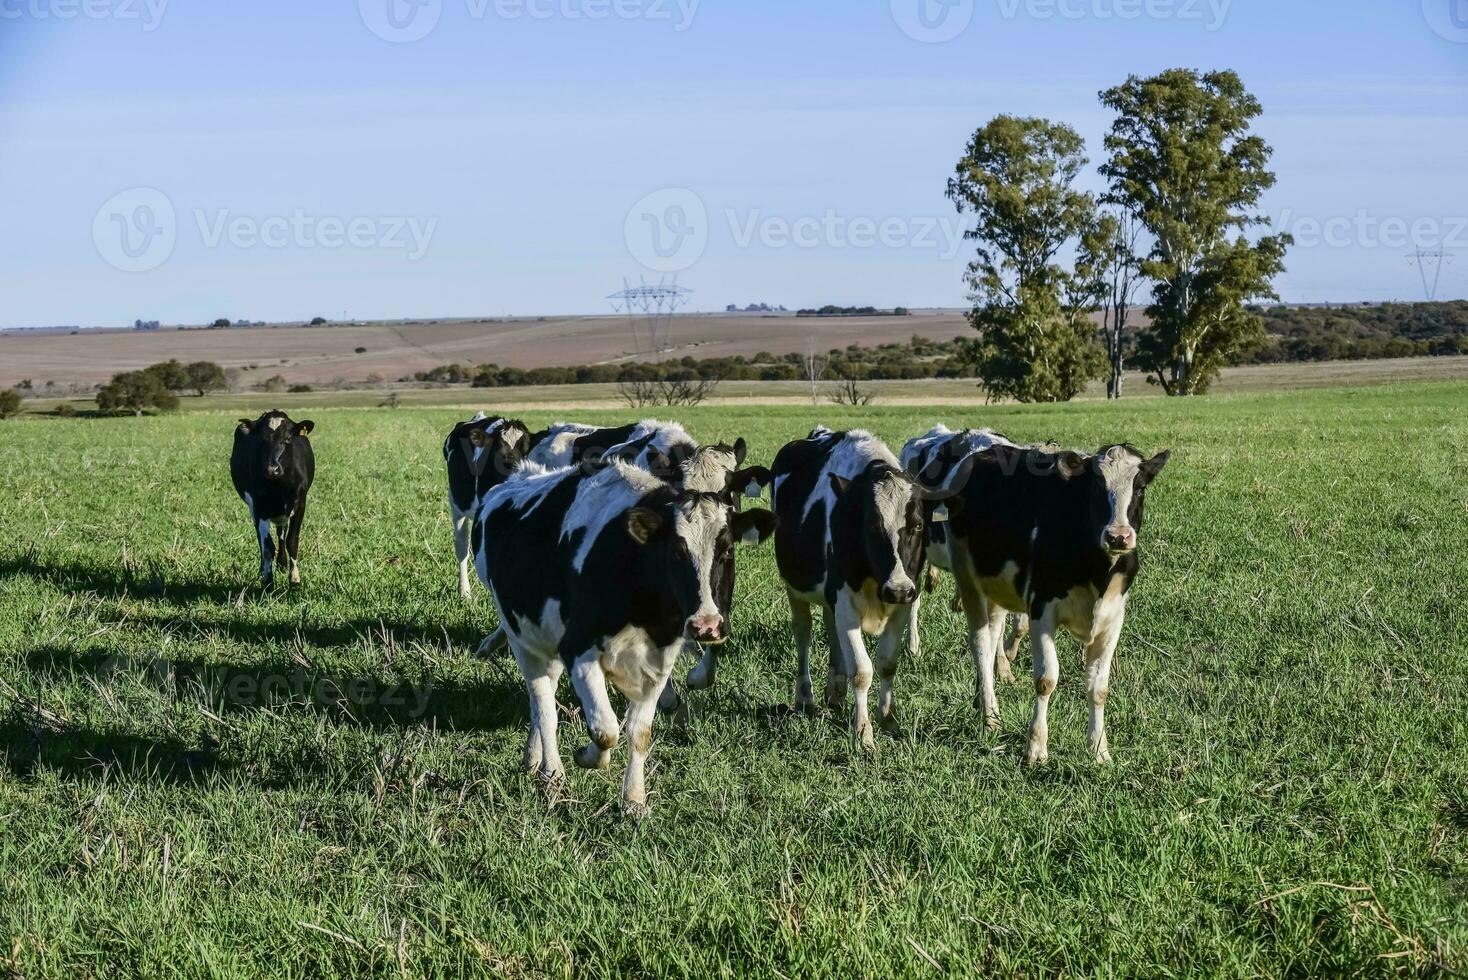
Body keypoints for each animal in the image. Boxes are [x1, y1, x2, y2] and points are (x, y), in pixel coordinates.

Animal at [229, 410, 315, 586]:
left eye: (288, 438)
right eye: (261, 440)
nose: (271, 469)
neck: (279, 485)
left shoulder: (300, 503)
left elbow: (292, 541)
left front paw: (294, 578)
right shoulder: (259, 505)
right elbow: (267, 546)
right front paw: (267, 580)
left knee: (282, 532)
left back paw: (282, 564)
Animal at [449, 410, 537, 598]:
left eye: (525, 449)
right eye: (497, 448)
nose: (514, 467)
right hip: (456, 505)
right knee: (462, 547)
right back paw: (464, 591)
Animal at [478, 463, 780, 815]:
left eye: (727, 550)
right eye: (676, 552)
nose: (707, 625)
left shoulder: (660, 660)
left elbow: (640, 732)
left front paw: (634, 799)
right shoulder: (577, 650)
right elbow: (605, 729)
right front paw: (587, 756)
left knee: (545, 697)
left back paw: (533, 757)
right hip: (522, 639)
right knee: (543, 707)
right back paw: (551, 773)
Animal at [769, 425, 927, 757]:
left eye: (918, 526)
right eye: (872, 526)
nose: (898, 589)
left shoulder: (903, 604)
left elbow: (887, 663)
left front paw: (887, 718)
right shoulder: (844, 603)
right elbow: (862, 670)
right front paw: (863, 734)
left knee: (831, 632)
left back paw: (836, 691)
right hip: (795, 587)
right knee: (803, 634)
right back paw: (805, 697)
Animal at [945, 443, 1174, 762]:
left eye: (1140, 488)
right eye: (1095, 488)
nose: (1118, 536)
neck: (1097, 571)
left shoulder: (1113, 619)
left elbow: (1099, 687)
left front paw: (1098, 749)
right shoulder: (1042, 611)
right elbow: (1046, 679)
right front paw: (1036, 747)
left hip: (996, 589)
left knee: (991, 640)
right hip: (968, 578)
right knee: (980, 643)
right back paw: (990, 716)